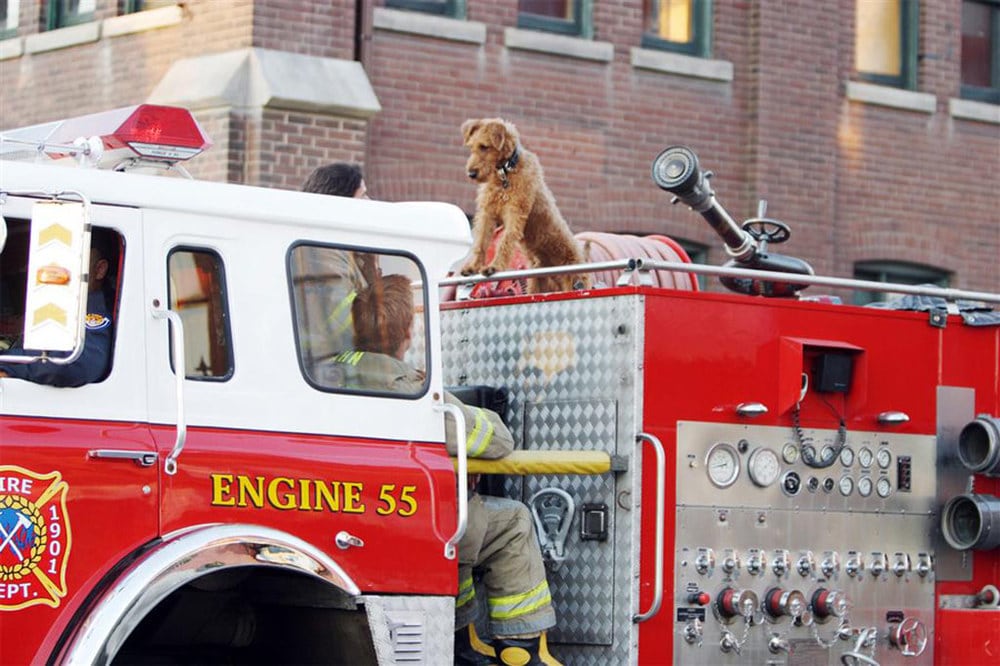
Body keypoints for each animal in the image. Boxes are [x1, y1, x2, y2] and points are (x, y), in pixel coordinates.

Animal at [458, 117, 584, 294]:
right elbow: (481, 242)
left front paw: (494, 267)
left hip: (573, 281)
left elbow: (505, 241)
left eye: (484, 146)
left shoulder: (515, 212)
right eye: (472, 147)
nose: (471, 173)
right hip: (536, 283)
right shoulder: (487, 214)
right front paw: (473, 266)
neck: (505, 174)